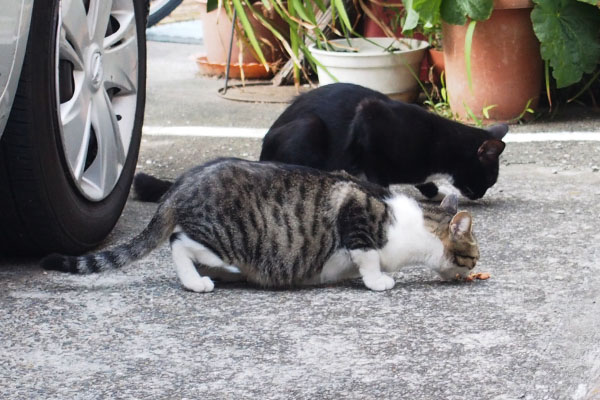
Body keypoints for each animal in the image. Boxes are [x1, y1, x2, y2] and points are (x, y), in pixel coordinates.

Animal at [42, 158, 480, 292]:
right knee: (179, 243)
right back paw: (198, 280)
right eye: (473, 255)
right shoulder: (354, 213)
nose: (475, 268)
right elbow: (368, 255)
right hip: (228, 236)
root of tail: (182, 182)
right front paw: (378, 280)